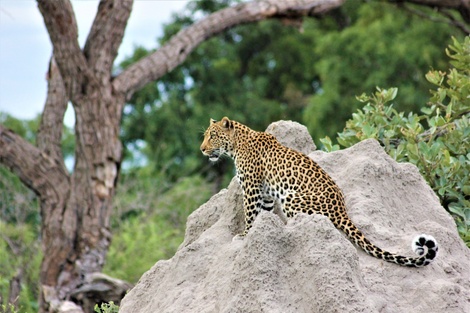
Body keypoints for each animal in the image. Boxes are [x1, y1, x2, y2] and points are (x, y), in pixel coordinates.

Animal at [200, 116, 438, 266]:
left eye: (212, 135)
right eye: (206, 135)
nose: (202, 149)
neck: (236, 145)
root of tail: (341, 209)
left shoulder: (251, 188)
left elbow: (250, 215)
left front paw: (244, 235)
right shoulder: (265, 193)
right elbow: (262, 214)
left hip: (292, 200)